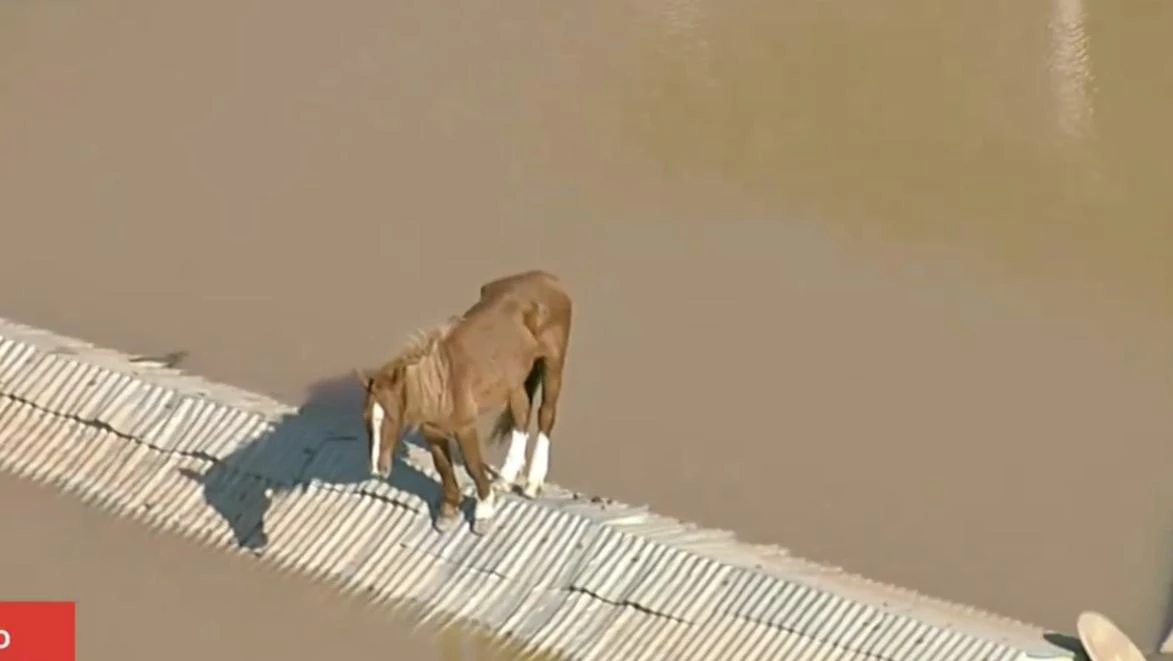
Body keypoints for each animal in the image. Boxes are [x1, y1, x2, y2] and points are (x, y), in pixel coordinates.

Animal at [355, 270, 572, 535]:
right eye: (366, 420)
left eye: (391, 417)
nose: (378, 470)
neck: (442, 382)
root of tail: (548, 278)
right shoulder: (433, 431)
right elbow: (443, 467)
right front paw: (448, 512)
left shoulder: (465, 427)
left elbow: (472, 466)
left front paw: (484, 512)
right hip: (514, 380)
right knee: (521, 414)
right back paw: (505, 478)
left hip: (553, 362)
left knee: (546, 414)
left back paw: (532, 483)